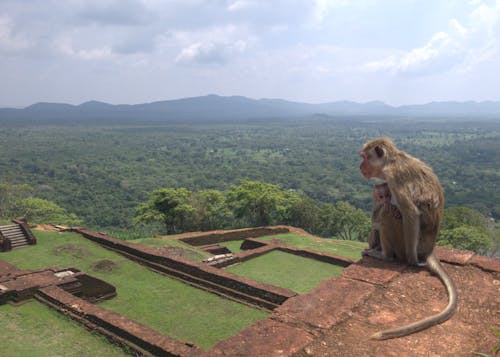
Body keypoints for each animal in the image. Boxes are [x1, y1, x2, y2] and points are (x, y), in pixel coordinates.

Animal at [360, 136, 458, 340]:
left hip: (404, 244)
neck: (392, 160)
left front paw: (412, 262)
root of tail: (430, 249)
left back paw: (386, 256)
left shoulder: (393, 177)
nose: (360, 165)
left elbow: (411, 213)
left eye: (364, 157)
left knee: (389, 215)